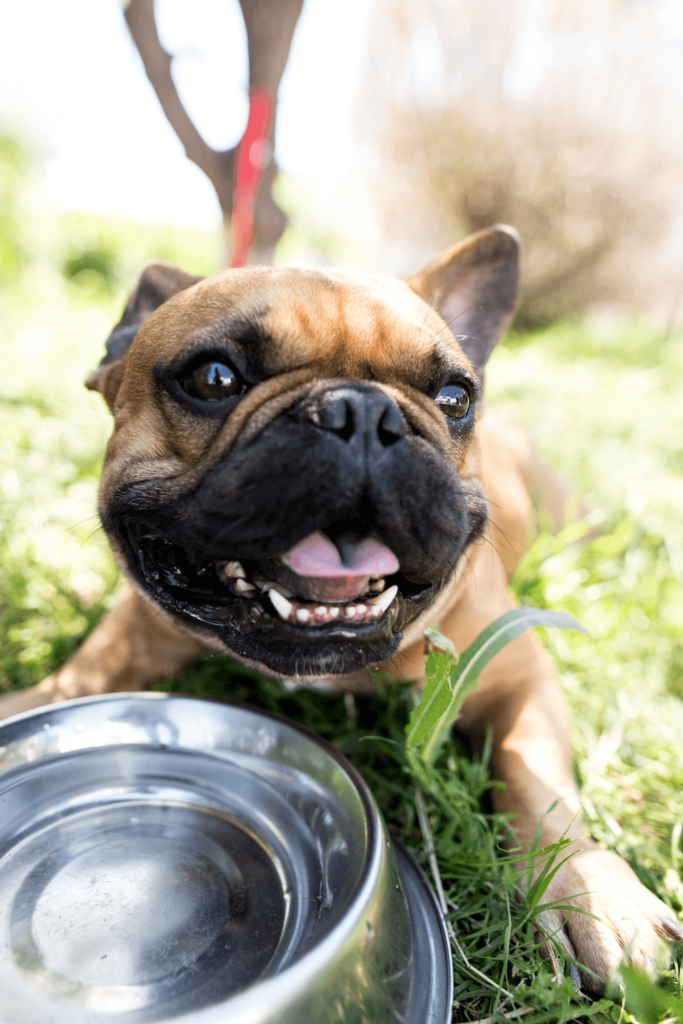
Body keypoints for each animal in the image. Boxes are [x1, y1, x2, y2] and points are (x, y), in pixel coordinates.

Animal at [2, 226, 679, 991]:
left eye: (454, 397)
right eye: (212, 378)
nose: (363, 412)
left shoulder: (519, 677)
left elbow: (539, 784)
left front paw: (590, 890)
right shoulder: (124, 644)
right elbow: (66, 687)